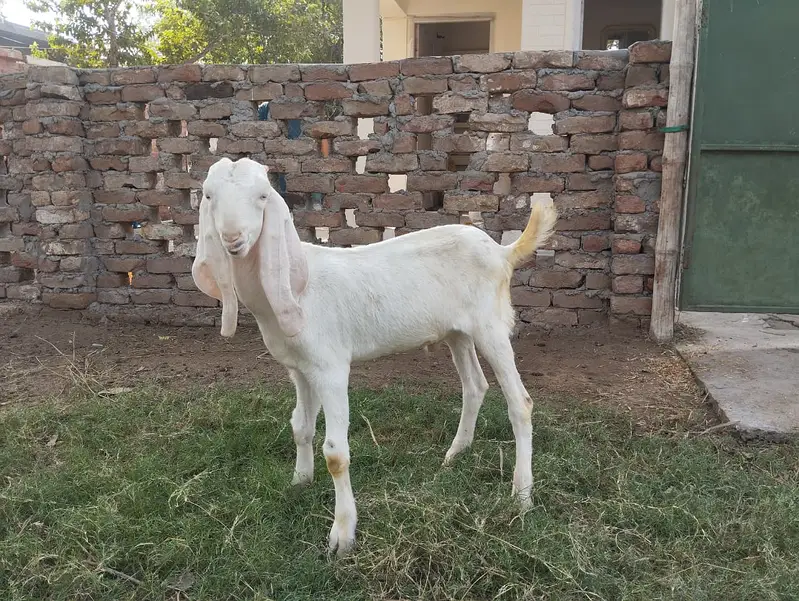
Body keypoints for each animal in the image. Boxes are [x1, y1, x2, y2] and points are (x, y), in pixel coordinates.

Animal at [192, 157, 558, 556]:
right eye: (208, 195)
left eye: (262, 196)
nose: (232, 240)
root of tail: (502, 252)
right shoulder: (300, 369)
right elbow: (300, 427)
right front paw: (300, 481)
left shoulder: (331, 367)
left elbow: (336, 453)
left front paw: (342, 534)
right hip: (457, 332)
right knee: (475, 386)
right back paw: (455, 454)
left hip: (490, 326)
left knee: (520, 403)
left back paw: (521, 495)